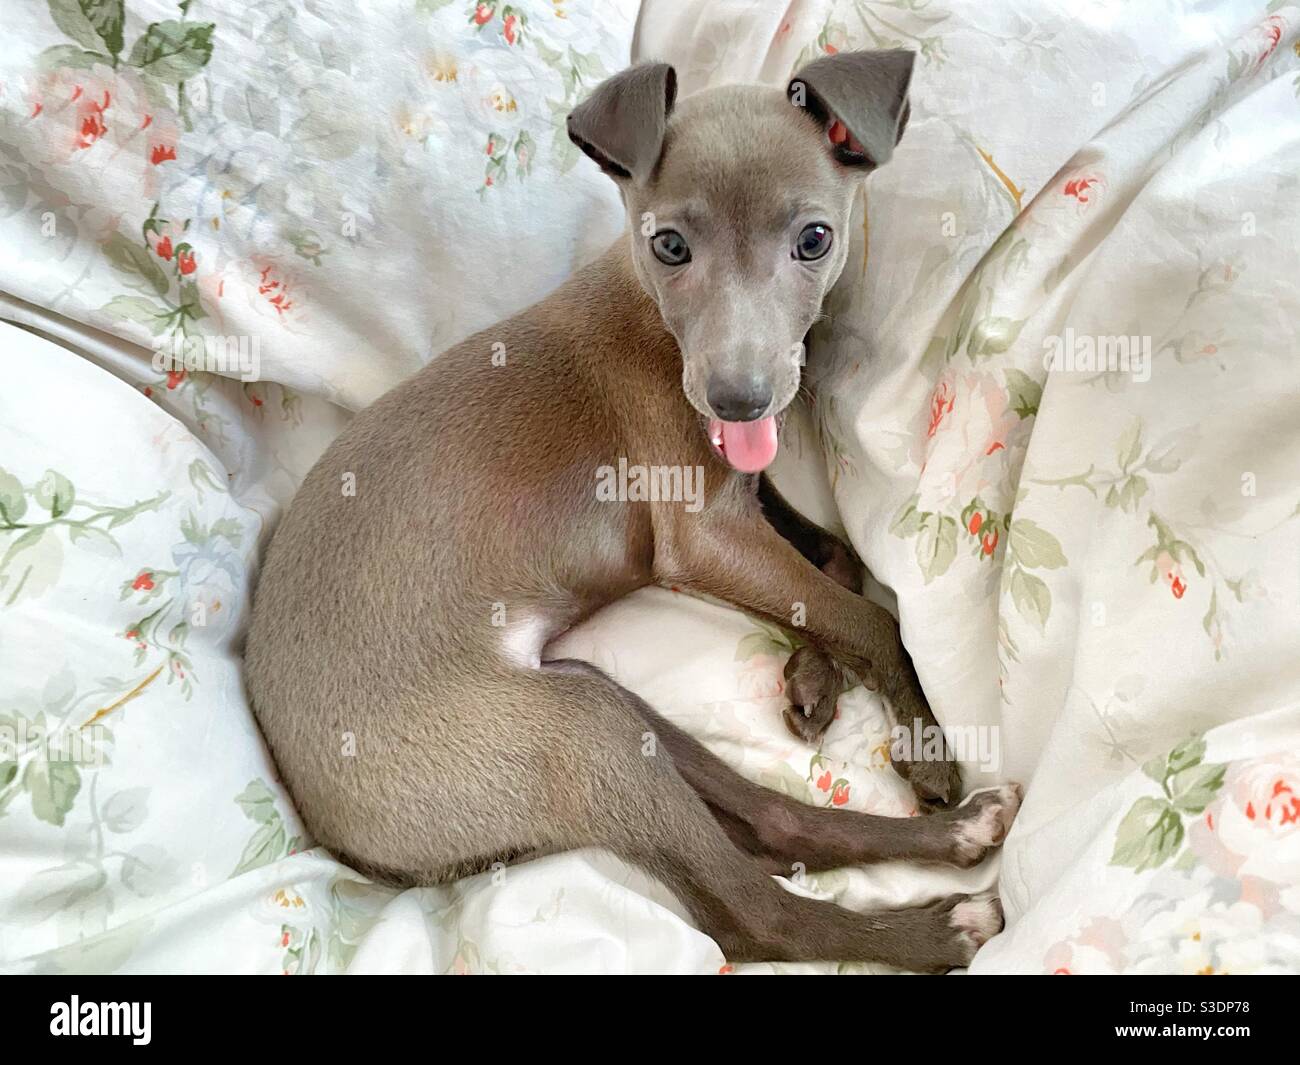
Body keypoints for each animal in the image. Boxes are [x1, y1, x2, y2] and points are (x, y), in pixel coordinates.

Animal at [244, 50, 1019, 972]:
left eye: (815, 239)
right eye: (669, 244)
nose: (738, 398)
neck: (659, 326)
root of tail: (333, 826)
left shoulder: (739, 498)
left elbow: (832, 562)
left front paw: (811, 677)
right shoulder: (703, 534)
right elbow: (867, 613)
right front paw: (924, 742)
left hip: (588, 694)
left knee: (772, 821)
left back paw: (959, 835)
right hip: (570, 739)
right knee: (751, 913)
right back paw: (942, 917)